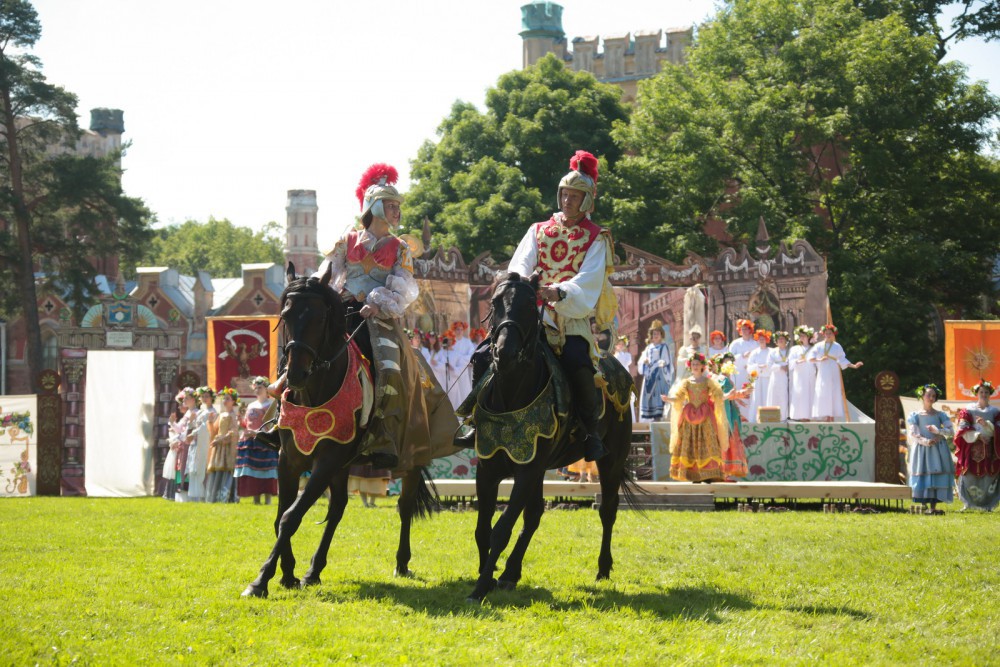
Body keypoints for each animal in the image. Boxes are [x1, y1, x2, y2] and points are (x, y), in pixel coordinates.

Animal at [242, 266, 438, 600]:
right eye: (286, 315)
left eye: (319, 318)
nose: (295, 374)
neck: (314, 392)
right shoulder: (289, 460)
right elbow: (281, 516)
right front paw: (289, 573)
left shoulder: (327, 459)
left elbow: (291, 516)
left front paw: (261, 580)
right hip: (343, 466)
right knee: (337, 509)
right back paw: (314, 570)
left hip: (409, 460)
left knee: (404, 505)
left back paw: (402, 563)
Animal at [464, 274, 636, 604]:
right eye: (495, 302)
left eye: (531, 304)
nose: (503, 354)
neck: (511, 394)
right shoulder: (490, 467)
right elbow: (482, 528)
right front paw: (485, 576)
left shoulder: (527, 469)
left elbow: (501, 530)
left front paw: (480, 587)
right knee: (534, 516)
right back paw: (510, 573)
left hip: (612, 460)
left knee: (608, 510)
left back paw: (603, 568)